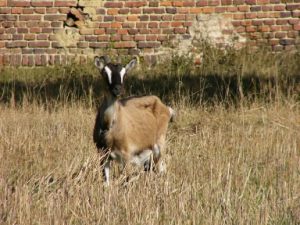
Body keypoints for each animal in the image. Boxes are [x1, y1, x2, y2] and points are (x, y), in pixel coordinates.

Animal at [92, 55, 175, 185]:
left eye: (124, 74)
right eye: (105, 73)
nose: (117, 89)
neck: (109, 125)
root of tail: (165, 107)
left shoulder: (126, 155)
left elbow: (127, 181)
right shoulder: (103, 154)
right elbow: (106, 183)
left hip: (159, 145)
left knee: (161, 169)